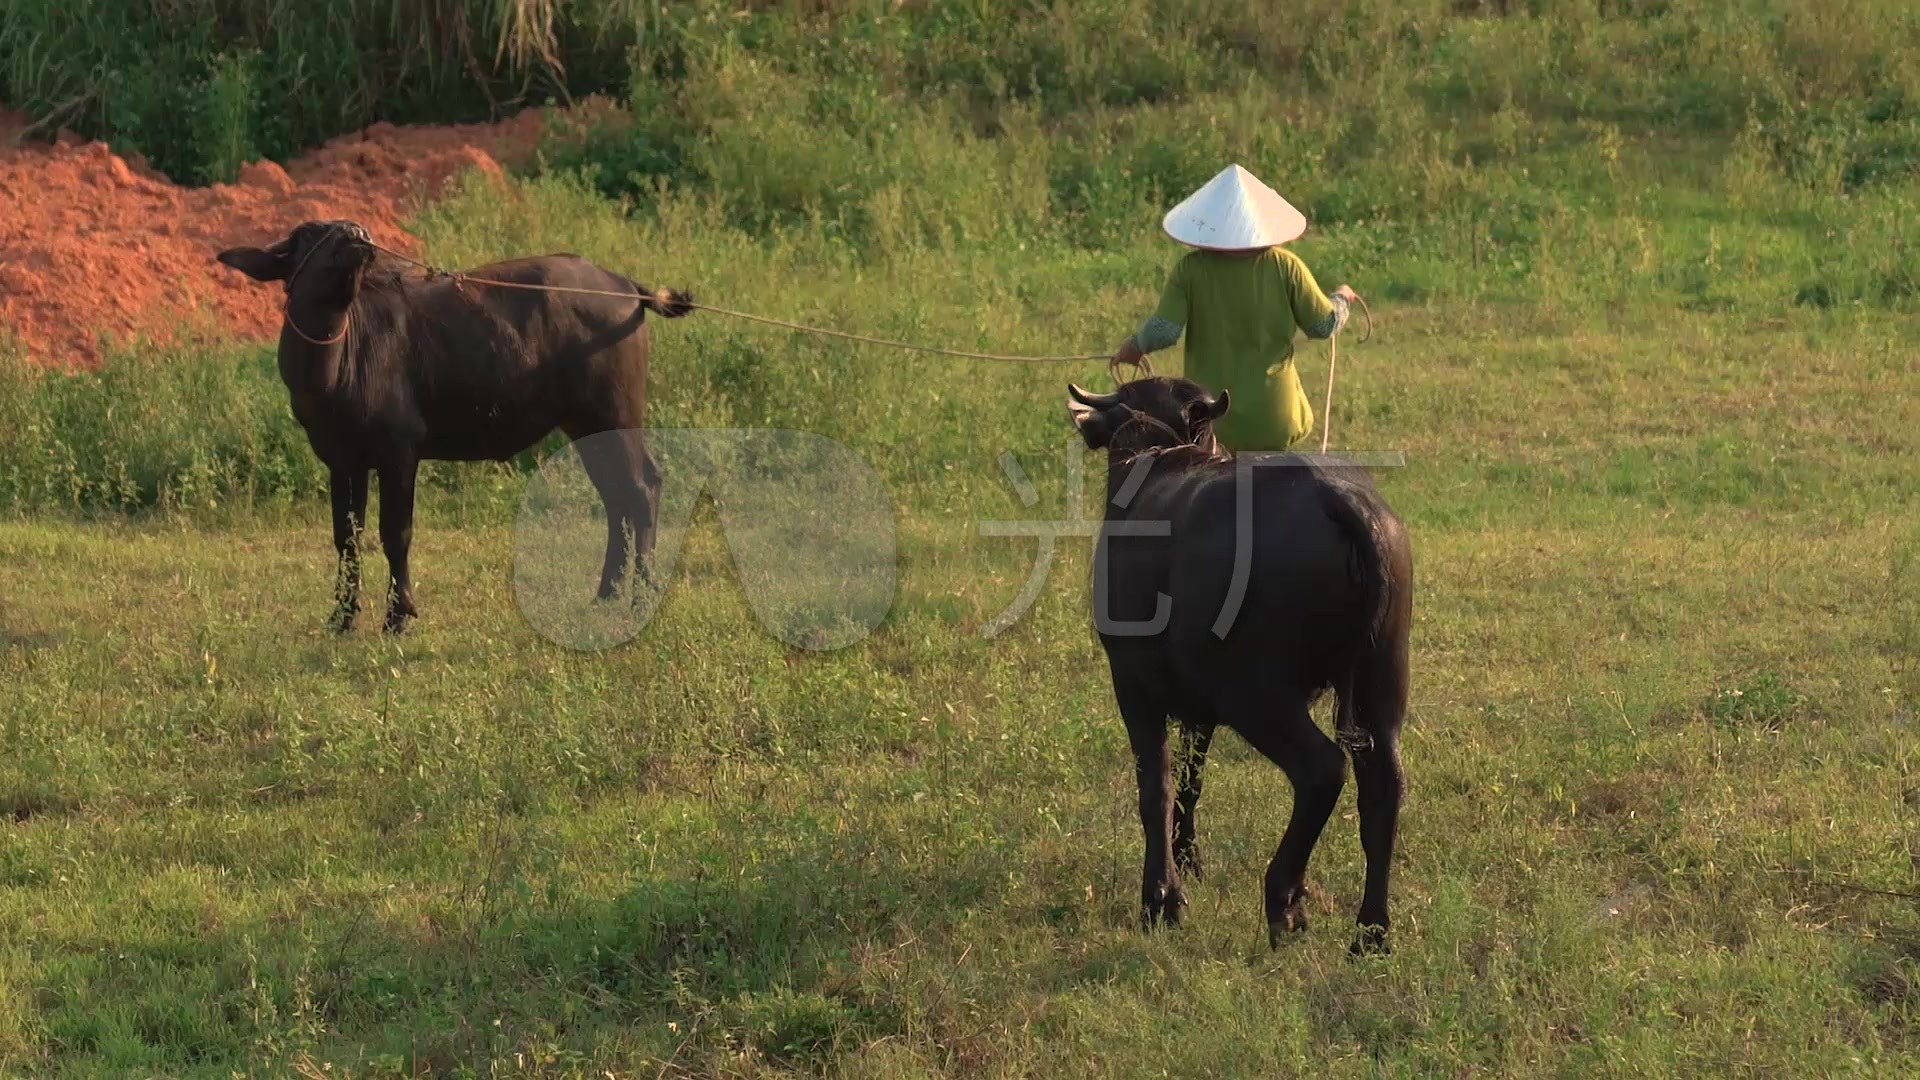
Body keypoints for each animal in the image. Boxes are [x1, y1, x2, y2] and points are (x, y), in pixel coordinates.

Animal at [215, 219, 695, 630]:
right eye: (309, 233)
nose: (357, 234)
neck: (338, 365)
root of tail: (625, 286)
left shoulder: (399, 453)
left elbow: (396, 532)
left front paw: (399, 614)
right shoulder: (342, 460)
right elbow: (346, 537)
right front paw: (342, 617)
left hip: (615, 414)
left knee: (642, 487)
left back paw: (642, 596)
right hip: (586, 426)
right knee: (616, 498)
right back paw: (606, 595)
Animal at [1067, 372, 1413, 949]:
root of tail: (1339, 499)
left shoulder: (1133, 687)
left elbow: (1156, 786)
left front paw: (1162, 897)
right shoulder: (1197, 707)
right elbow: (1191, 778)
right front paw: (1188, 857)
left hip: (1259, 698)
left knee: (1323, 769)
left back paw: (1285, 900)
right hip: (1381, 683)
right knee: (1383, 787)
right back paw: (1371, 932)